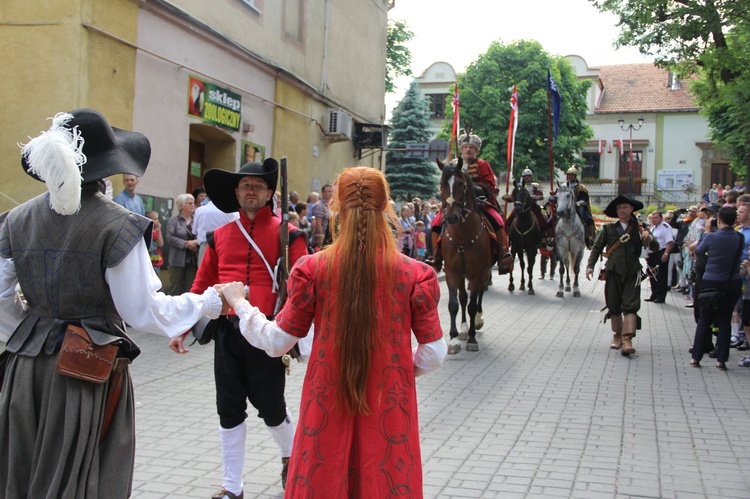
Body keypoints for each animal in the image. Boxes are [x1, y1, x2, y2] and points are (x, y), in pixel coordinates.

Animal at [434, 158, 494, 354]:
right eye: (441, 184)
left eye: (461, 184)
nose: (452, 217)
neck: (462, 235)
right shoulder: (452, 272)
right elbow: (454, 304)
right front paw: (453, 340)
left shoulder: (476, 273)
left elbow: (472, 306)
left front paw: (472, 339)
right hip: (462, 275)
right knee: (463, 298)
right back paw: (463, 329)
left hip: (484, 272)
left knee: (479, 295)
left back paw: (477, 322)